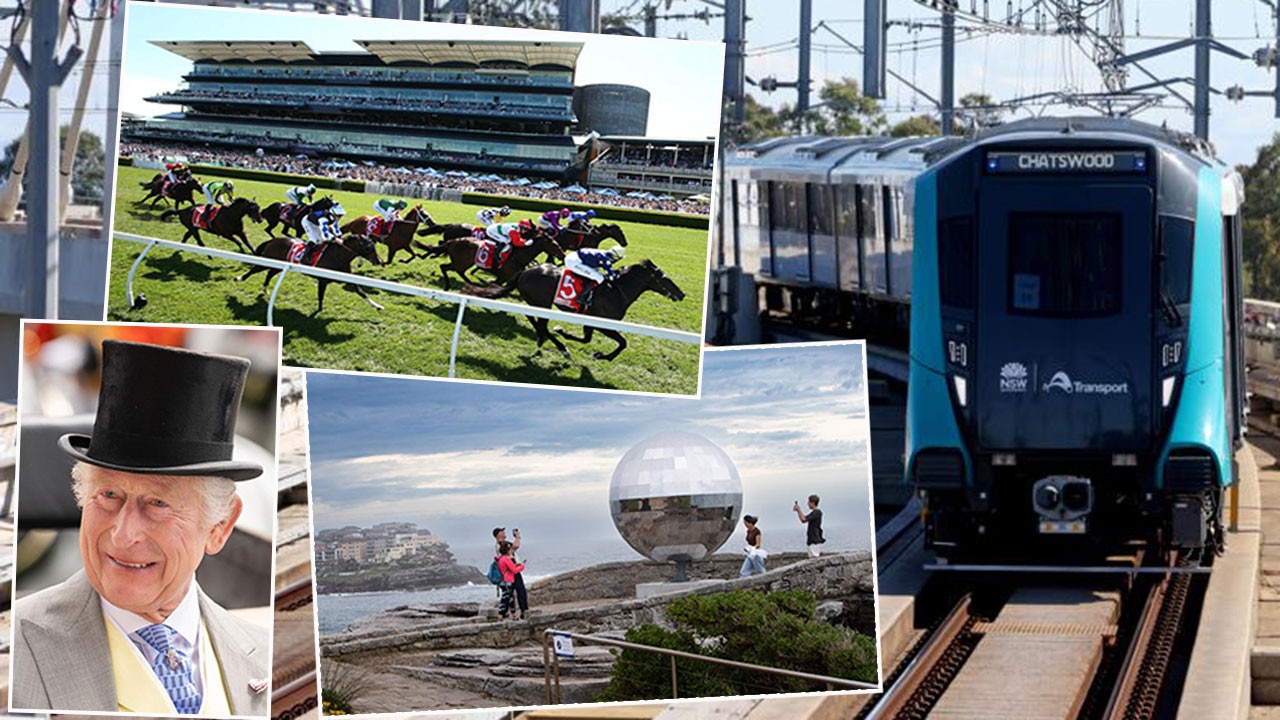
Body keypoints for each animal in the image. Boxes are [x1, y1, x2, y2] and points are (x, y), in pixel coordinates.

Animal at [236, 234, 384, 315]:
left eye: (374, 246)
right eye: (369, 247)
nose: (379, 261)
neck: (338, 256)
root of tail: (273, 240)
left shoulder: (347, 278)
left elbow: (361, 291)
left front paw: (377, 305)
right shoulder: (322, 280)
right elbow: (320, 296)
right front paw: (318, 311)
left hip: (278, 265)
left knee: (269, 274)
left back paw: (265, 289)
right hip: (267, 261)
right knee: (255, 269)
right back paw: (239, 278)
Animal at [417, 226, 563, 288]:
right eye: (554, 244)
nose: (562, 254)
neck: (518, 256)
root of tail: (454, 241)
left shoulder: (503, 278)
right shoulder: (504, 277)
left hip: (464, 263)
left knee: (458, 271)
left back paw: (469, 282)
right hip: (461, 262)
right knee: (445, 267)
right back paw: (448, 285)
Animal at [465, 256, 686, 358]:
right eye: (665, 279)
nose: (682, 294)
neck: (616, 291)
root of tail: (525, 272)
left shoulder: (590, 321)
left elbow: (587, 339)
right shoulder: (603, 324)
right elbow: (622, 343)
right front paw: (601, 356)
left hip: (537, 303)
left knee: (534, 320)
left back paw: (543, 339)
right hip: (543, 303)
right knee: (541, 324)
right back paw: (561, 348)